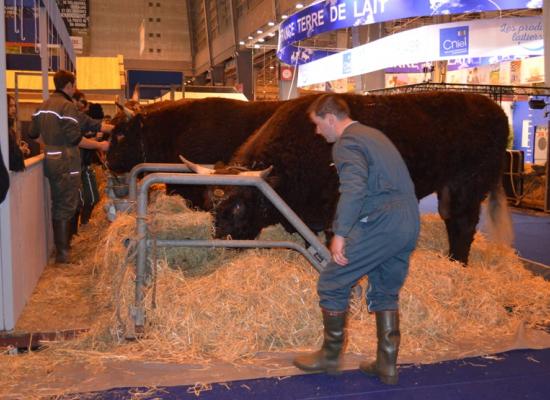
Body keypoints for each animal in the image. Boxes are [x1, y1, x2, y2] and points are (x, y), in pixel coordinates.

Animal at [193, 92, 512, 264]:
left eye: (238, 206)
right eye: (210, 205)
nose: (220, 242)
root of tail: (491, 105)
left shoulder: (334, 209)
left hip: (468, 184)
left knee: (463, 224)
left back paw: (457, 262)